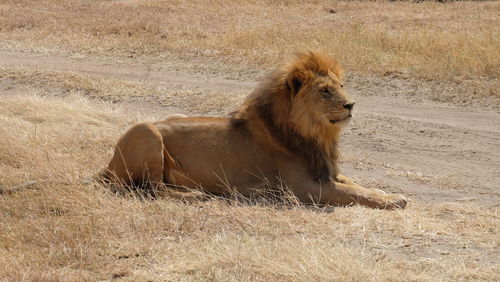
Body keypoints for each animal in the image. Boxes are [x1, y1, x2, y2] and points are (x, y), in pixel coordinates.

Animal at [99, 50, 408, 209]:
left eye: (341, 86)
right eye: (324, 91)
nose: (351, 105)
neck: (317, 135)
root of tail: (108, 165)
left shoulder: (326, 172)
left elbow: (357, 185)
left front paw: (386, 192)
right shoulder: (303, 188)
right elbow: (353, 194)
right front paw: (393, 200)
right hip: (146, 130)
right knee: (150, 188)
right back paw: (195, 195)